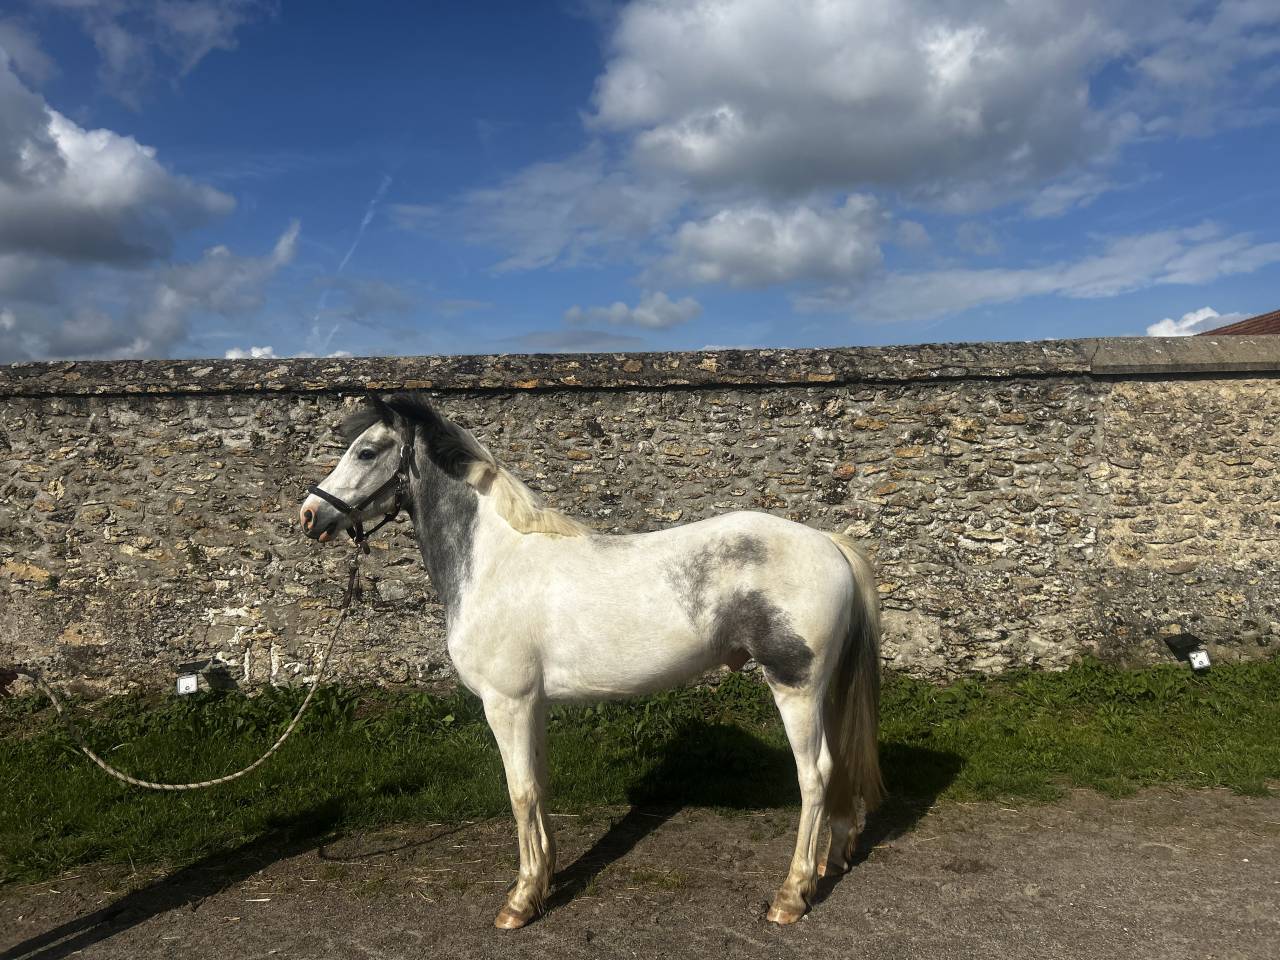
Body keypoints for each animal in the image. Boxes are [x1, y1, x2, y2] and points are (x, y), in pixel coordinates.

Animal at [298, 393, 884, 928]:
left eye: (367, 451)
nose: (309, 514)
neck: (494, 564)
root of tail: (828, 543)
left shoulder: (506, 703)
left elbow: (519, 792)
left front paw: (519, 903)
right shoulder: (531, 705)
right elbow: (538, 786)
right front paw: (541, 881)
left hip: (796, 688)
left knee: (815, 774)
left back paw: (792, 895)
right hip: (825, 689)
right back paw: (833, 860)